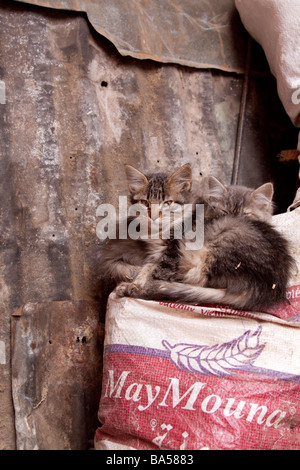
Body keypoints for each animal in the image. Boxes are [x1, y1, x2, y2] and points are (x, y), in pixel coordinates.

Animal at [117, 176, 296, 312]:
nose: (153, 216)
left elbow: (153, 271)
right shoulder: (157, 254)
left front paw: (138, 286)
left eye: (246, 214)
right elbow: (145, 270)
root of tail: (269, 287)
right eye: (223, 211)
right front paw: (133, 283)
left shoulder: (171, 252)